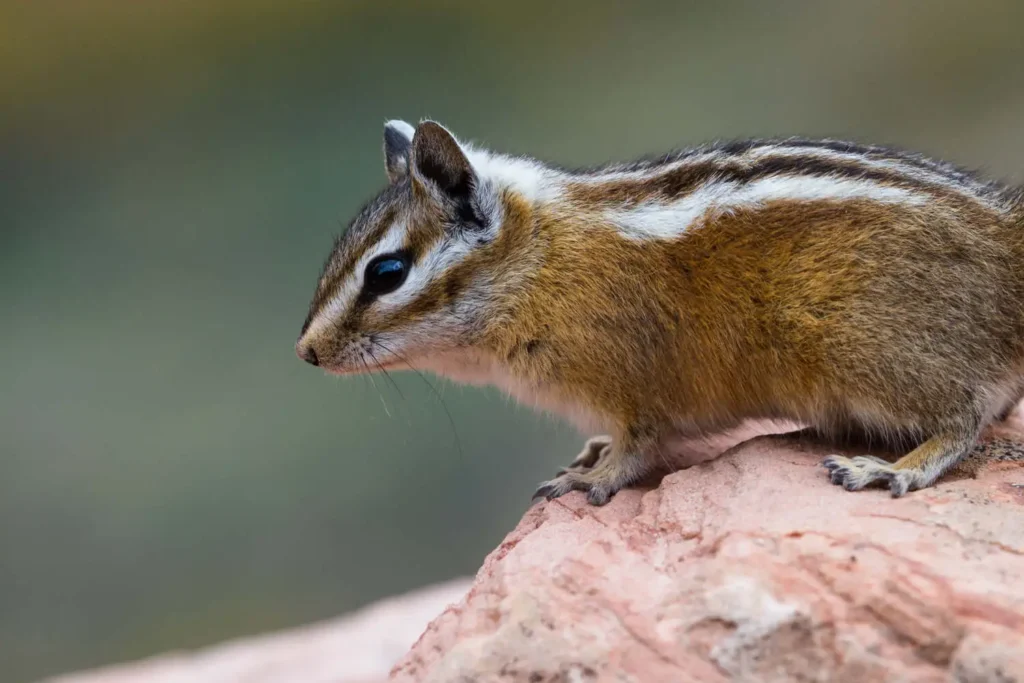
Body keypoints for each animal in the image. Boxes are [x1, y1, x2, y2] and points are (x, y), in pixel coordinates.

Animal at [295, 119, 1024, 506]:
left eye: (387, 272)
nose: (305, 352)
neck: (542, 262)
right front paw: (589, 455)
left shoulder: (636, 389)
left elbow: (640, 444)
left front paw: (594, 476)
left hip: (870, 350)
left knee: (962, 420)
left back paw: (892, 467)